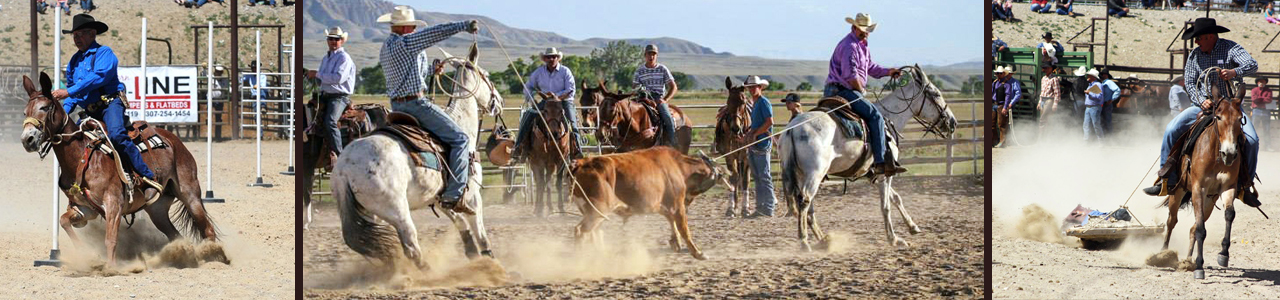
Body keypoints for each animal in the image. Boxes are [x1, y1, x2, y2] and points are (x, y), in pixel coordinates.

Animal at [19, 72, 225, 265]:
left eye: (44, 107)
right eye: (25, 112)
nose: (27, 139)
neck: (81, 158)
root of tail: (173, 139)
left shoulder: (113, 204)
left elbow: (110, 239)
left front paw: (110, 267)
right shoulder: (85, 209)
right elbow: (63, 221)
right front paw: (86, 254)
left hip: (190, 194)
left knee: (207, 229)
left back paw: (215, 256)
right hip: (157, 209)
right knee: (175, 235)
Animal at [330, 45, 499, 267]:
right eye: (486, 75)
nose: (498, 101)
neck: (460, 122)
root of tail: (343, 170)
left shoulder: (441, 197)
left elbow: (460, 221)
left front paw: (471, 252)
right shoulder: (471, 194)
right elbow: (479, 230)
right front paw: (489, 259)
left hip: (369, 212)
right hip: (396, 210)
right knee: (411, 246)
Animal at [716, 76, 752, 217]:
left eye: (743, 102)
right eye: (728, 101)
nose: (735, 128)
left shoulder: (746, 155)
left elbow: (745, 180)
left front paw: (745, 208)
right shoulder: (730, 155)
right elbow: (733, 178)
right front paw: (731, 208)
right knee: (736, 177)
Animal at [778, 65, 952, 251]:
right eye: (937, 94)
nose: (952, 122)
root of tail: (792, 129)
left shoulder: (874, 174)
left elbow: (895, 198)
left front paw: (913, 227)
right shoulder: (886, 173)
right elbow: (885, 206)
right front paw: (894, 239)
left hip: (802, 174)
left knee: (809, 208)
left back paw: (824, 239)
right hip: (814, 174)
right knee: (804, 201)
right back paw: (805, 242)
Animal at [1162, 80, 1249, 279]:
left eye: (1240, 118)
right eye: (1218, 117)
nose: (1229, 153)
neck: (1216, 155)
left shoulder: (1227, 188)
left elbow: (1229, 215)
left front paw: (1223, 254)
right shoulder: (1198, 188)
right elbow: (1201, 229)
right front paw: (1200, 268)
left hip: (1210, 199)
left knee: (1192, 228)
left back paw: (1188, 260)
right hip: (1178, 191)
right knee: (1171, 221)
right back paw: (1162, 254)